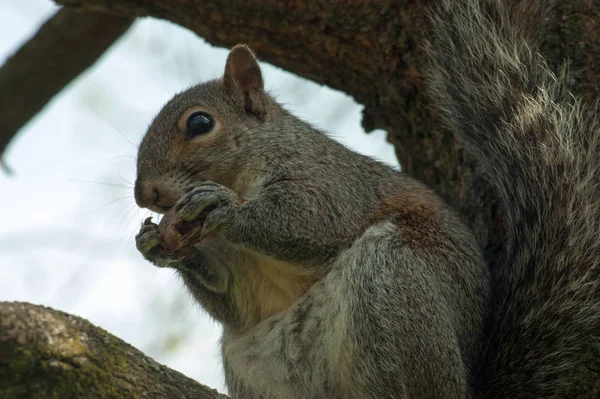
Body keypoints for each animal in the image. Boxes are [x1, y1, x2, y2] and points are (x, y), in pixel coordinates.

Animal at [135, 0, 600, 398]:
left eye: (200, 123)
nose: (144, 194)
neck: (245, 171)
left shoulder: (331, 182)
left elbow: (312, 222)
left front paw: (223, 207)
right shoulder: (240, 280)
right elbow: (233, 299)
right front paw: (156, 244)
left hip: (394, 282)